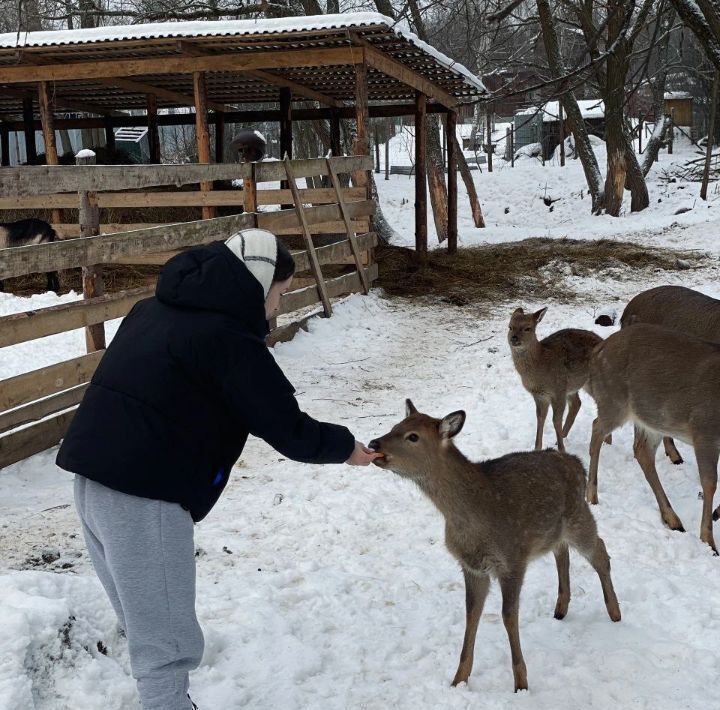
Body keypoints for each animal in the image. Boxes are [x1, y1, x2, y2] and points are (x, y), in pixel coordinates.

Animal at [368, 400, 620, 696]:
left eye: (413, 436)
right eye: (395, 425)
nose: (373, 443)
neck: (472, 520)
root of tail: (577, 464)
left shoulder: (512, 559)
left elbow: (508, 616)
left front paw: (521, 684)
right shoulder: (471, 566)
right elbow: (472, 613)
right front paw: (459, 679)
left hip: (579, 516)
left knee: (600, 552)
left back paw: (615, 613)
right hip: (554, 530)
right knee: (562, 552)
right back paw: (561, 609)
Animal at [510, 308, 604, 454]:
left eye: (527, 328)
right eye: (510, 326)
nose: (513, 338)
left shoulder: (558, 391)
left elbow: (555, 420)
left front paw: (562, 450)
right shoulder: (540, 396)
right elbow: (540, 419)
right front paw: (537, 448)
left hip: (592, 382)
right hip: (573, 385)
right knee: (577, 403)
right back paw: (564, 435)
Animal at [584, 324, 720, 556]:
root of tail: (597, 350)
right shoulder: (704, 429)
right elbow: (710, 482)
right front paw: (709, 543)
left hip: (653, 418)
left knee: (642, 451)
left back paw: (672, 519)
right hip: (615, 401)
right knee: (596, 429)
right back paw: (591, 495)